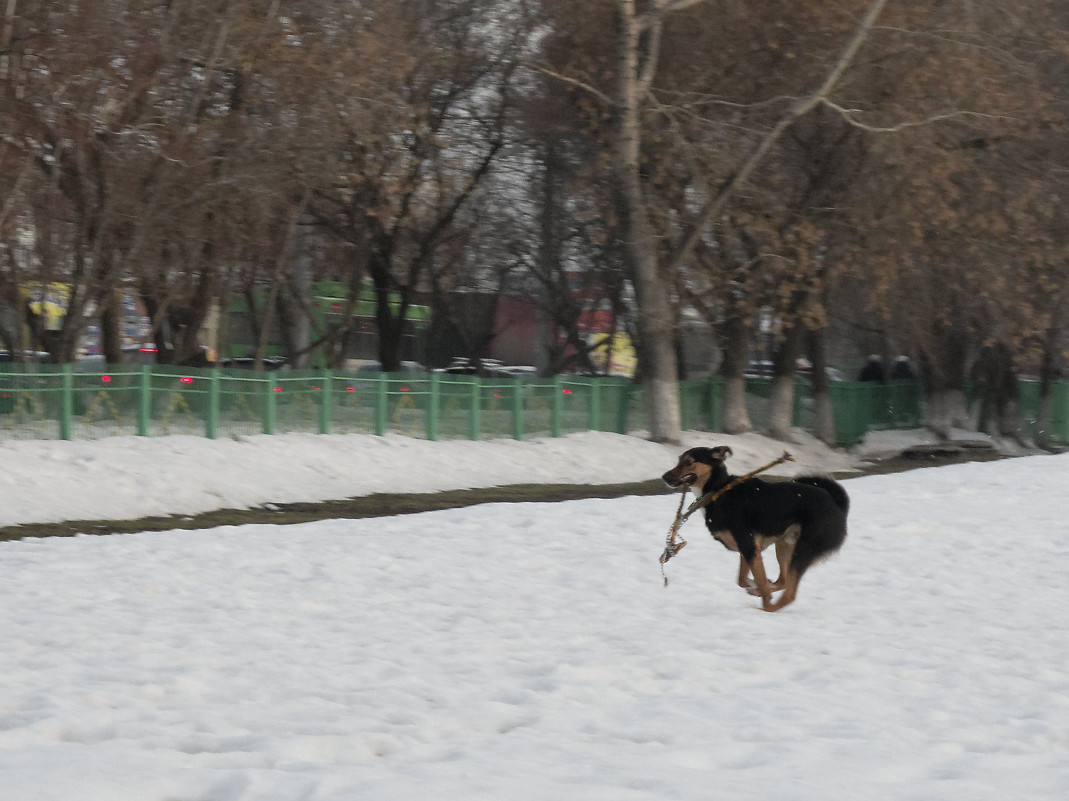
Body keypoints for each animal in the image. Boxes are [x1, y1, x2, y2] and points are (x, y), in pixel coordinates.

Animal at [662, 442, 846, 611]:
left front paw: (764, 598)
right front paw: (757, 587)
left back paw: (770, 608)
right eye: (679, 459)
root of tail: (837, 505)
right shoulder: (747, 549)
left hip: (803, 549)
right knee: (783, 581)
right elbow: (743, 580)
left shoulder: (749, 547)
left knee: (789, 594)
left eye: (688, 461)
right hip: (785, 544)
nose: (664, 477)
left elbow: (758, 582)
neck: (719, 490)